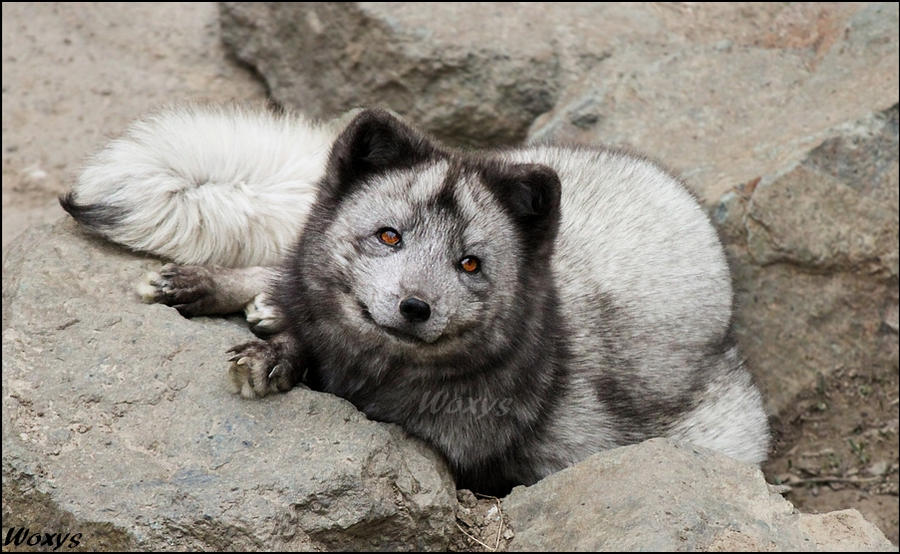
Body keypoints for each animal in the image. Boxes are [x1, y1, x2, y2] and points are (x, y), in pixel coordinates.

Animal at [60, 103, 770, 494]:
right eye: (389, 236)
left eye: (470, 263)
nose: (414, 307)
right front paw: (274, 346)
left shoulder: (441, 441)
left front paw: (280, 353)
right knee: (285, 262)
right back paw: (215, 287)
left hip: (734, 435)